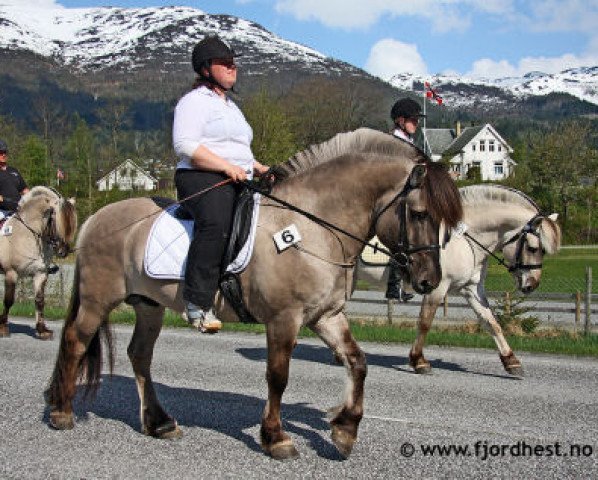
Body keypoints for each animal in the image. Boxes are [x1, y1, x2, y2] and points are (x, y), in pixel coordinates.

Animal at [0, 186, 77, 340]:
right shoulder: (11, 273)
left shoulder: (40, 273)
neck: (25, 234)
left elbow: (39, 300)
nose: (63, 251)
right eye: (56, 221)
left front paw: (42, 330)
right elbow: (8, 300)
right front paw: (3, 328)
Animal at [45, 128, 464, 462]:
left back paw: (159, 423)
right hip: (98, 300)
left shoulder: (326, 316)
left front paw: (344, 430)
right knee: (75, 341)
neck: (314, 226)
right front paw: (276, 438)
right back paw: (62, 412)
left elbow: (357, 363)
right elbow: (278, 376)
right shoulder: (284, 319)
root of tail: (96, 218)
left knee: (139, 355)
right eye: (420, 213)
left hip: (149, 306)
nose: (429, 281)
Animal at [358, 184, 564, 376]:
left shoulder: (472, 289)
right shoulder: (437, 287)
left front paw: (511, 361)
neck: (463, 240)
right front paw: (418, 361)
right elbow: (425, 322)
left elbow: (491, 322)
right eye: (532, 248)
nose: (531, 285)